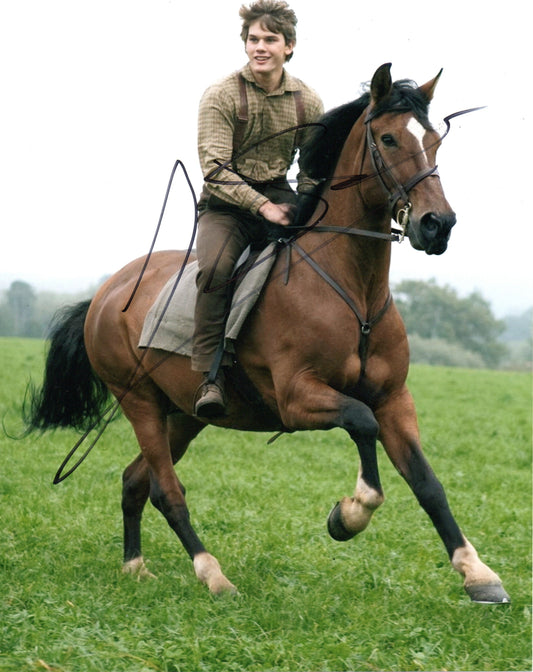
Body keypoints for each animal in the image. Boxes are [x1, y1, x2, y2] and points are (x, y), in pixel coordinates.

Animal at [24, 63, 510, 603]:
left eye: (434, 141)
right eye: (387, 138)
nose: (437, 225)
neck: (351, 290)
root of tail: (106, 292)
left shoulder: (394, 398)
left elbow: (427, 483)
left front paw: (478, 574)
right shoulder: (299, 398)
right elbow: (361, 424)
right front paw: (349, 514)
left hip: (185, 414)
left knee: (135, 481)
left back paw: (135, 566)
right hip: (141, 404)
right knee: (166, 491)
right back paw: (213, 575)